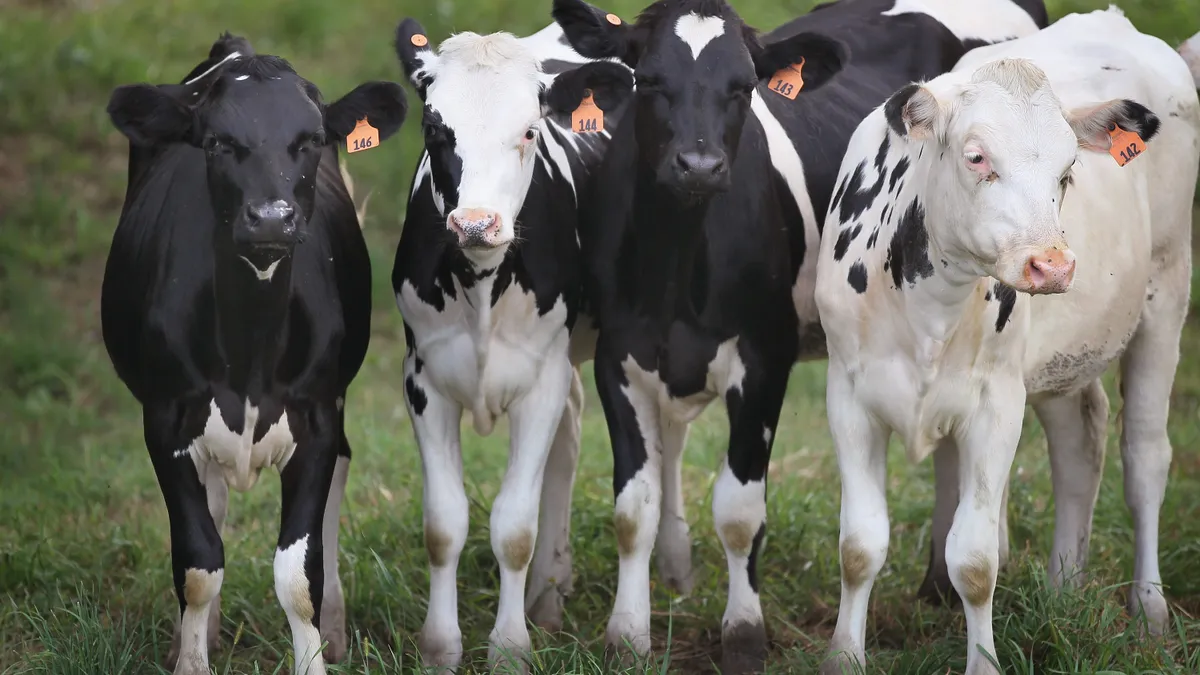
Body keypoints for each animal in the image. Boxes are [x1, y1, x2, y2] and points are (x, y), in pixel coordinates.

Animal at [100, 32, 408, 672]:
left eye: (311, 139)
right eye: (218, 141)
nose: (271, 218)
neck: (251, 351)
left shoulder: (316, 418)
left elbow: (299, 575)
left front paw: (315, 656)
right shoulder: (164, 420)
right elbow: (198, 563)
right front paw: (192, 658)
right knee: (213, 509)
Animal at [391, 15, 638, 667]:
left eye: (529, 130)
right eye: (434, 128)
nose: (476, 222)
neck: (481, 285)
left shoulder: (540, 381)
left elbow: (513, 529)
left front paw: (508, 648)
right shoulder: (422, 379)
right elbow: (444, 525)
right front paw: (441, 645)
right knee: (570, 437)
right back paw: (551, 593)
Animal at [549, 0, 1046, 667]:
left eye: (743, 87)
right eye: (648, 80)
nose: (700, 166)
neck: (677, 260)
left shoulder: (764, 358)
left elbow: (739, 510)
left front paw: (743, 634)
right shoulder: (618, 356)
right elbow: (633, 508)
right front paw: (627, 636)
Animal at [811, 6, 1195, 672]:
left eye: (1069, 170)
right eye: (976, 157)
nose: (1053, 265)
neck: (926, 306)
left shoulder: (996, 403)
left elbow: (974, 558)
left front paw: (983, 661)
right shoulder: (849, 394)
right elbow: (859, 545)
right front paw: (843, 656)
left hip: (1166, 294)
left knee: (1145, 459)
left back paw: (1148, 609)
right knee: (1080, 441)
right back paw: (1065, 587)